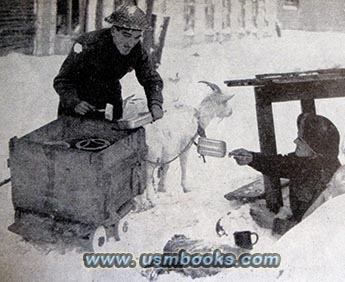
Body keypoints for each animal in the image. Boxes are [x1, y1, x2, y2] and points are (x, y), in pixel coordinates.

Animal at [122, 81, 232, 209]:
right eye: (225, 102)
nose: (231, 112)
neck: (197, 118)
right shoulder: (184, 147)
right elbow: (183, 165)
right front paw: (186, 187)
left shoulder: (168, 151)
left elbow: (166, 166)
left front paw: (162, 187)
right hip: (152, 155)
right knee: (148, 175)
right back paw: (151, 200)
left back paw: (140, 202)